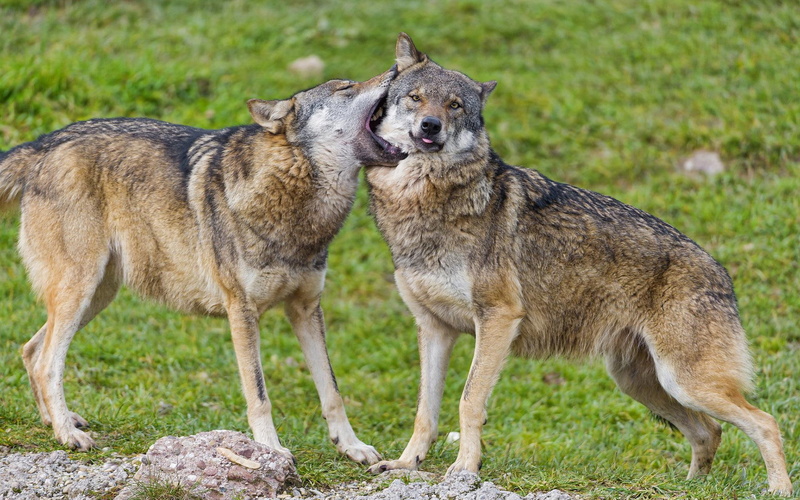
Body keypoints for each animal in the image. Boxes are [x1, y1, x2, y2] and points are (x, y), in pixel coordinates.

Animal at [0, 66, 406, 463]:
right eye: (345, 89)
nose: (395, 68)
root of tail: (43, 143)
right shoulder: (242, 311)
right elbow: (259, 394)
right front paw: (270, 449)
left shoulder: (306, 308)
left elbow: (332, 391)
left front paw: (352, 446)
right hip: (80, 291)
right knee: (48, 362)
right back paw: (68, 435)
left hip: (98, 296)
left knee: (31, 351)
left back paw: (58, 421)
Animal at [364, 33, 792, 495]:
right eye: (416, 98)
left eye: (455, 105)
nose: (431, 126)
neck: (423, 202)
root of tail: (723, 273)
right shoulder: (434, 329)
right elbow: (425, 411)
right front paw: (405, 463)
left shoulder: (497, 318)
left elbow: (469, 401)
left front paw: (465, 469)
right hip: (643, 382)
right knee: (709, 431)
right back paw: (690, 488)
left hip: (684, 382)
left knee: (765, 422)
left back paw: (779, 489)